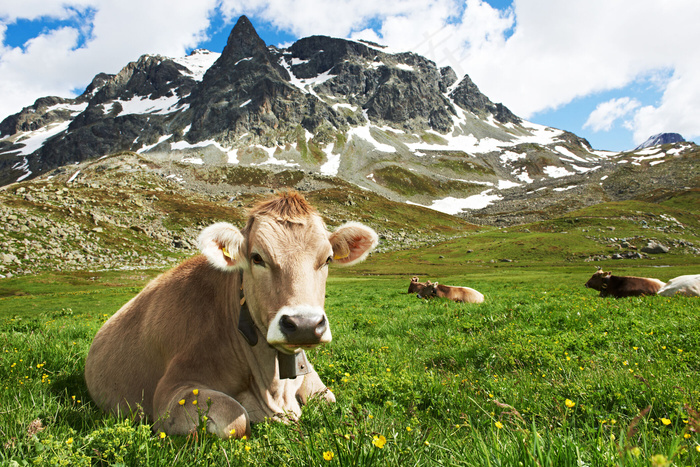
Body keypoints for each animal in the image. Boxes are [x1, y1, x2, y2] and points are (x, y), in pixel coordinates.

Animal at [85, 190, 380, 438]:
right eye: (257, 257)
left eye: (327, 259)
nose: (304, 324)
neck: (273, 388)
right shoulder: (170, 392)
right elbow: (236, 417)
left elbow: (329, 399)